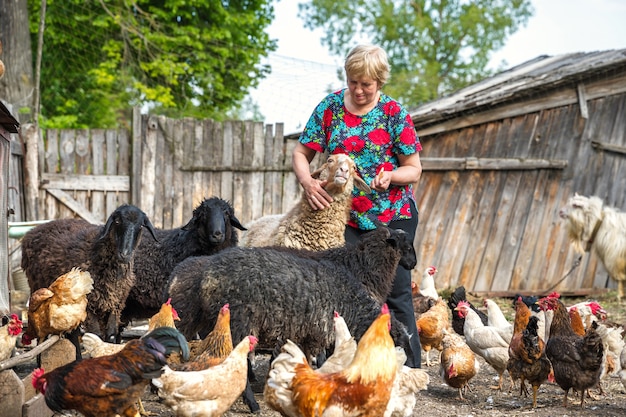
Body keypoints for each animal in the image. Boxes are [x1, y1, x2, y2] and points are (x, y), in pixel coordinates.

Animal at [20, 203, 156, 346]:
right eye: (117, 221)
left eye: (140, 226)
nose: (125, 254)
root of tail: (32, 231)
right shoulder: (89, 305)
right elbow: (96, 335)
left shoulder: (115, 304)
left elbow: (111, 336)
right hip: (38, 288)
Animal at [168, 226, 416, 412]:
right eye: (407, 246)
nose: (413, 264)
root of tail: (208, 273)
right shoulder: (318, 332)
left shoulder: (303, 333)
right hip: (237, 322)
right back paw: (251, 403)